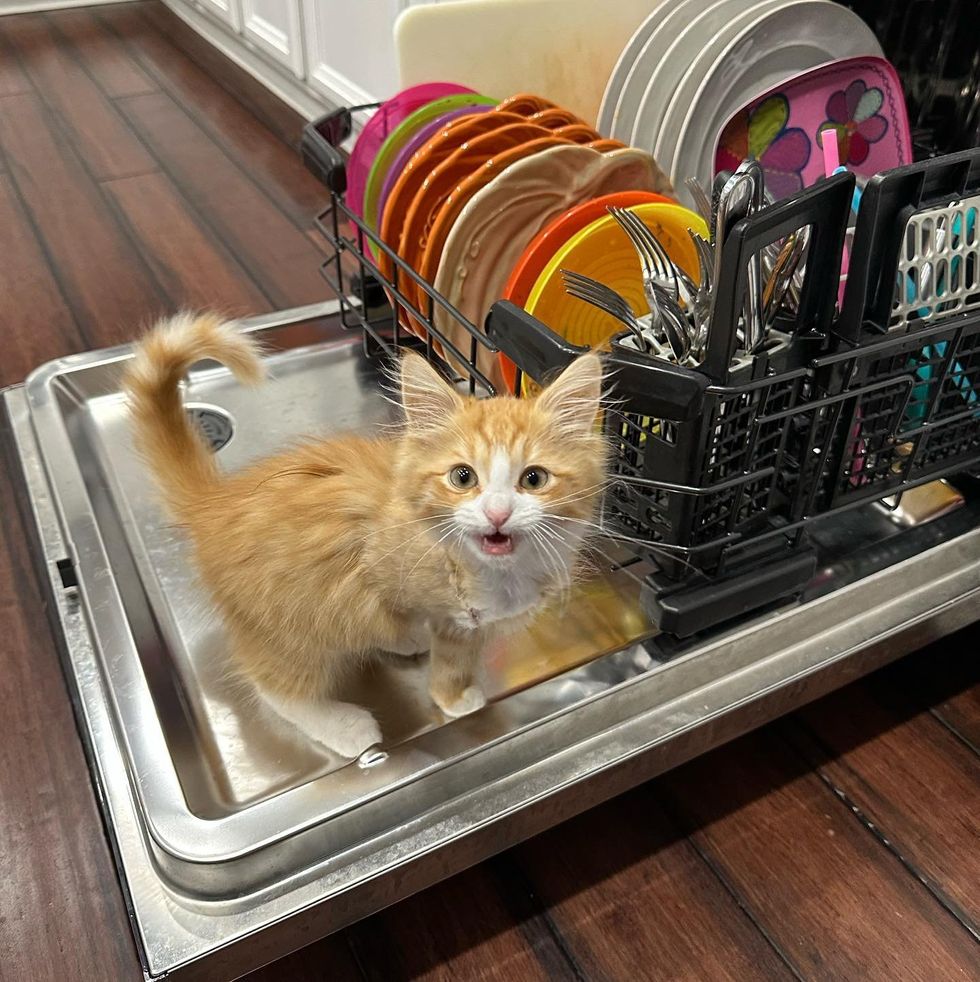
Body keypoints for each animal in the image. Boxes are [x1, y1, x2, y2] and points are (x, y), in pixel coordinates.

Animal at [122, 316, 604, 760]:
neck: (496, 570)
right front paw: (455, 697)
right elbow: (451, 657)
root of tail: (214, 503)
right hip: (288, 613)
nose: (497, 513)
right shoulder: (410, 585)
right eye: (463, 477)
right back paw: (344, 726)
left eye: (534, 479)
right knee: (275, 684)